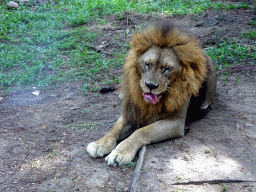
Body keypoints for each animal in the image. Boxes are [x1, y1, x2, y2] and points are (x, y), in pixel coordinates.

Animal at [87, 21, 217, 166]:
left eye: (167, 68)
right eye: (147, 64)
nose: (150, 86)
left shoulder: (176, 122)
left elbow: (142, 131)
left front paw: (120, 152)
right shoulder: (131, 112)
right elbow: (115, 128)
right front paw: (99, 144)